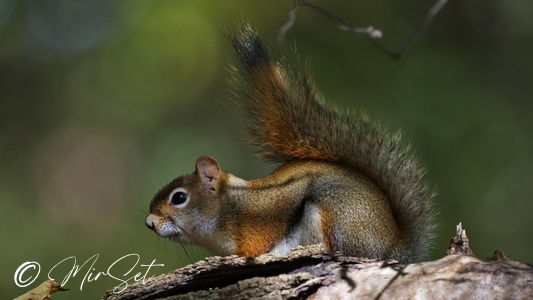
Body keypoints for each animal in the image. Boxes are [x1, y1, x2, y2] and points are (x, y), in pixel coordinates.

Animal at [143, 22, 434, 262]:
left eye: (179, 198)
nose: (149, 223)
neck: (228, 210)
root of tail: (393, 247)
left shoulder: (259, 224)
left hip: (339, 218)